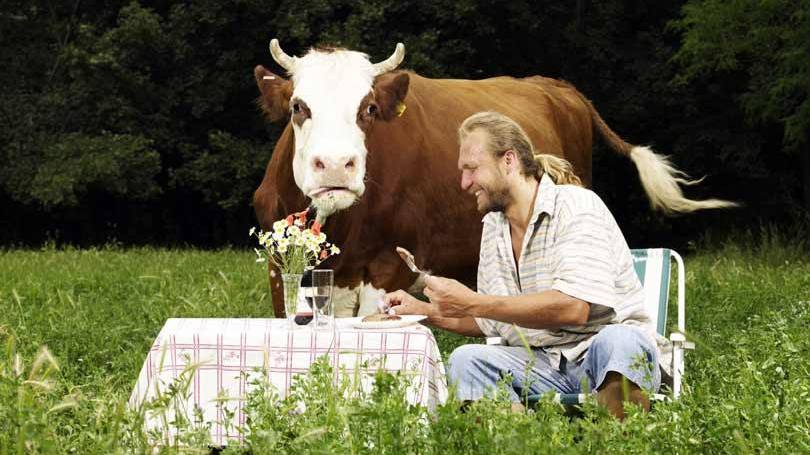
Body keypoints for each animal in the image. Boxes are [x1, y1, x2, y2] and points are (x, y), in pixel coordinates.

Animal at [251, 40, 732, 318]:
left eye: (368, 109)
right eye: (298, 106)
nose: (336, 165)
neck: (341, 229)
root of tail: (556, 85)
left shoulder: (388, 267)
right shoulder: (279, 266)